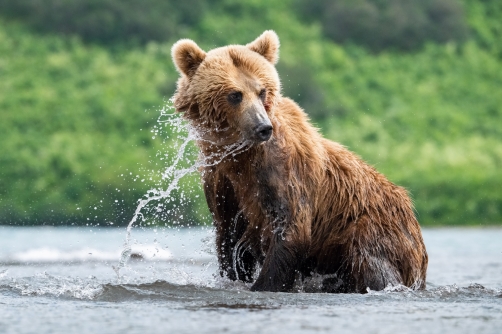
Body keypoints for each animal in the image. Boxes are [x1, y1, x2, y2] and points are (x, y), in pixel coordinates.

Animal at [173, 30, 428, 292]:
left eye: (262, 91)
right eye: (235, 95)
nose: (263, 127)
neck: (240, 156)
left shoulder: (281, 171)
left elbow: (290, 230)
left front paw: (262, 284)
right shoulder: (222, 181)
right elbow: (228, 240)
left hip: (370, 228)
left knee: (372, 264)